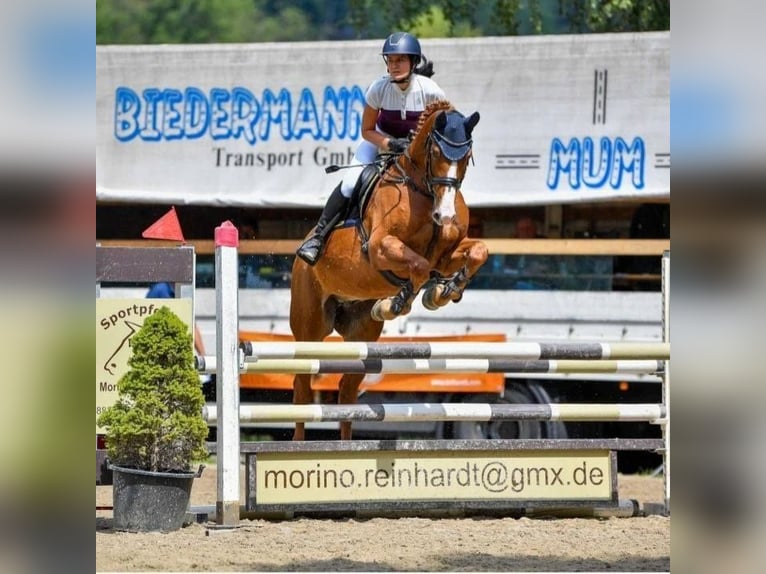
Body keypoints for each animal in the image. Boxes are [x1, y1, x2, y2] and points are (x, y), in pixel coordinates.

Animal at [292, 100, 488, 440]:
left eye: (466, 156)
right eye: (436, 152)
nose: (445, 215)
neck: (424, 190)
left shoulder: (446, 255)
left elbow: (477, 251)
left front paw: (444, 291)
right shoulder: (380, 248)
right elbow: (418, 266)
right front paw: (401, 301)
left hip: (360, 334)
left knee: (347, 390)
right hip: (309, 328)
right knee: (302, 388)